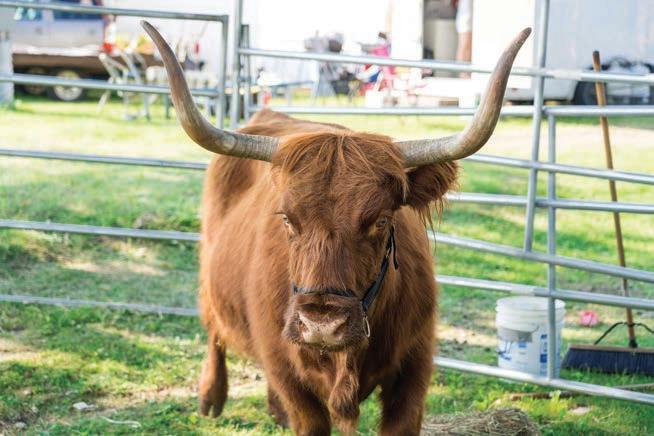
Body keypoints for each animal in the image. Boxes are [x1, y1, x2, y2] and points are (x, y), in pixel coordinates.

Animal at [142, 21, 530, 435]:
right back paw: (211, 397)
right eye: (286, 218)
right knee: (214, 327)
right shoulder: (288, 371)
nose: (322, 325)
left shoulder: (415, 368)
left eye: (381, 219)